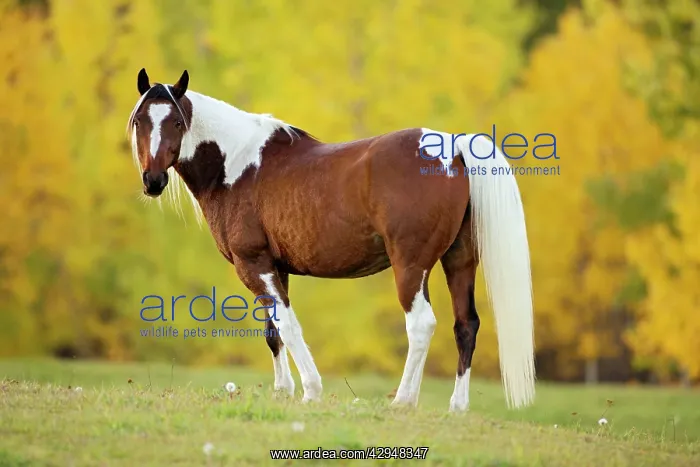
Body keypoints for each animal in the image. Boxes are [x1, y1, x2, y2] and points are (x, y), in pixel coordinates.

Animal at [126, 68, 536, 411]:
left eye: (177, 121)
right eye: (141, 121)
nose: (153, 181)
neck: (238, 165)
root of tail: (452, 145)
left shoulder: (253, 264)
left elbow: (288, 325)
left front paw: (311, 390)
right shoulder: (274, 267)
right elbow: (273, 331)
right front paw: (282, 391)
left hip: (411, 266)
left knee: (421, 324)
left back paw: (403, 401)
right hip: (459, 261)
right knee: (465, 325)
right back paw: (456, 407)